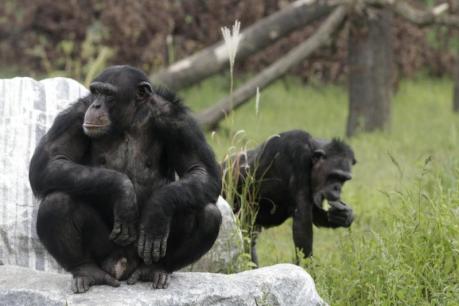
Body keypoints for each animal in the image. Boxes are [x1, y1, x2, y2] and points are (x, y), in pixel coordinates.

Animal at [28, 65, 223, 292]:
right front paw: (123, 191)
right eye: (96, 92)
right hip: (105, 254)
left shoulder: (180, 122)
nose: (96, 105)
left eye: (108, 94)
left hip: (142, 256)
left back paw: (156, 269)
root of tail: (123, 268)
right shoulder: (75, 116)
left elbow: (201, 170)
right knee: (56, 201)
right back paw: (86, 271)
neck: (129, 121)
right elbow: (49, 162)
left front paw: (157, 210)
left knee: (208, 213)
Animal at [225, 129, 358, 266]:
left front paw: (344, 215)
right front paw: (307, 267)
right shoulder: (298, 157)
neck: (312, 154)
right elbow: (303, 220)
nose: (337, 188)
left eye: (343, 179)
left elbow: (313, 214)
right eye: (333, 176)